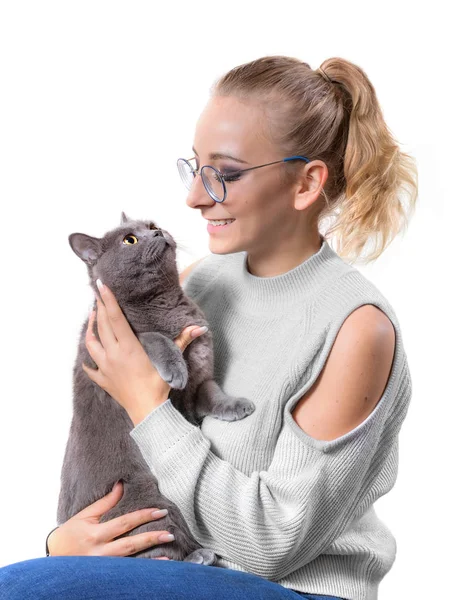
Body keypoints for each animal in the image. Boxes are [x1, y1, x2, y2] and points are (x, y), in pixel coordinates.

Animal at [57, 213, 258, 564]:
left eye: (151, 225)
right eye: (129, 240)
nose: (156, 232)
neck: (165, 304)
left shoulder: (199, 384)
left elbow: (212, 392)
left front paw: (236, 406)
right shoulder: (105, 344)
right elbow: (153, 338)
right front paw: (176, 368)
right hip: (150, 504)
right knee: (153, 553)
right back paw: (198, 556)